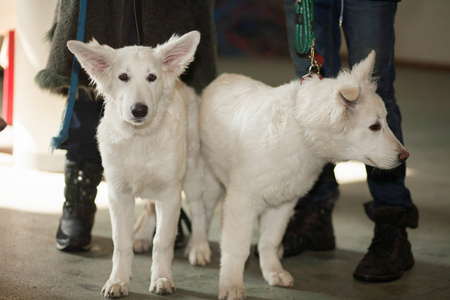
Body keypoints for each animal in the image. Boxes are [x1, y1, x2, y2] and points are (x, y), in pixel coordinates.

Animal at [67, 30, 207, 298]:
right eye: (123, 77)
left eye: (152, 77)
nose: (139, 110)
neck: (140, 137)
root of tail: (182, 83)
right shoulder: (118, 194)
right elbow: (121, 243)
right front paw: (118, 281)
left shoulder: (170, 194)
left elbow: (163, 241)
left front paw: (162, 278)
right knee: (151, 207)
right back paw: (141, 237)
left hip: (193, 173)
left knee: (198, 209)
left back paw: (199, 246)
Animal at [199, 50, 410, 298]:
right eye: (375, 126)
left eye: (385, 121)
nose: (405, 156)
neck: (301, 131)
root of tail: (220, 79)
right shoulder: (242, 201)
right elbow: (237, 248)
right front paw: (231, 285)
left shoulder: (282, 202)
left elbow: (270, 241)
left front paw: (273, 272)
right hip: (208, 182)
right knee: (200, 215)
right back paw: (198, 249)